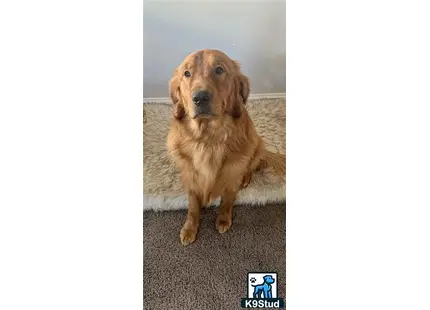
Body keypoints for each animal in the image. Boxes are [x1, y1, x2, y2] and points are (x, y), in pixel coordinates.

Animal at [168, 49, 286, 246]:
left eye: (219, 70)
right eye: (187, 73)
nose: (200, 98)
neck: (208, 138)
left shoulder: (232, 173)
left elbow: (227, 199)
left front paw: (223, 219)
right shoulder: (191, 175)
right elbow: (193, 205)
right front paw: (190, 227)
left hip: (256, 145)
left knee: (251, 166)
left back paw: (245, 178)